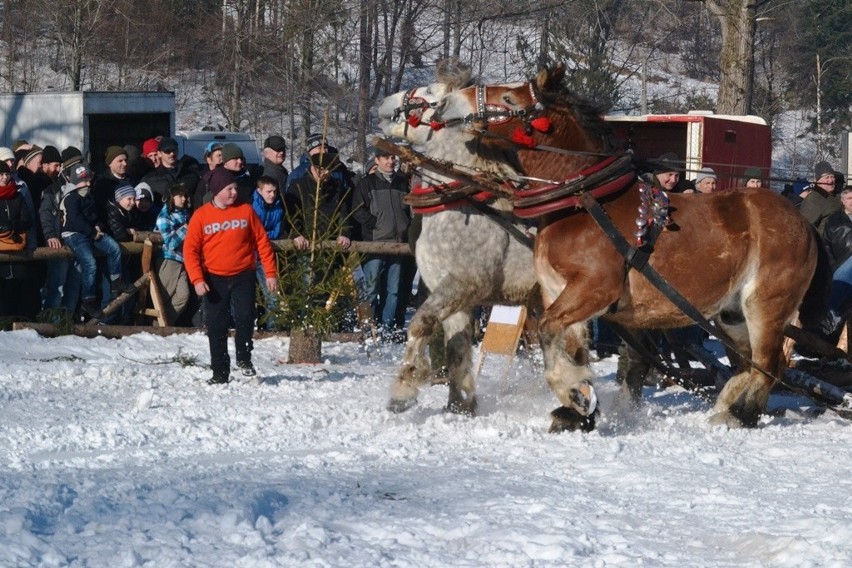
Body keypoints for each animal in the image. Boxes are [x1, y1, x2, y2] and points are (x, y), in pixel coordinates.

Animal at [380, 71, 540, 418]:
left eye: (429, 91)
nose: (384, 103)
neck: (459, 203)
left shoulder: (462, 284)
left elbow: (420, 325)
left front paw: (405, 385)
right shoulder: (456, 296)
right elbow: (456, 347)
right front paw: (460, 403)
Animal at [430, 65, 824, 430]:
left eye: (510, 100)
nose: (447, 103)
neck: (582, 201)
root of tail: (803, 222)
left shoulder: (593, 289)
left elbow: (548, 332)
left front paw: (571, 394)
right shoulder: (559, 292)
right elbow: (573, 351)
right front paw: (579, 408)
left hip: (766, 305)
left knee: (770, 363)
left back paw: (742, 415)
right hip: (729, 314)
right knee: (749, 362)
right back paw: (729, 406)